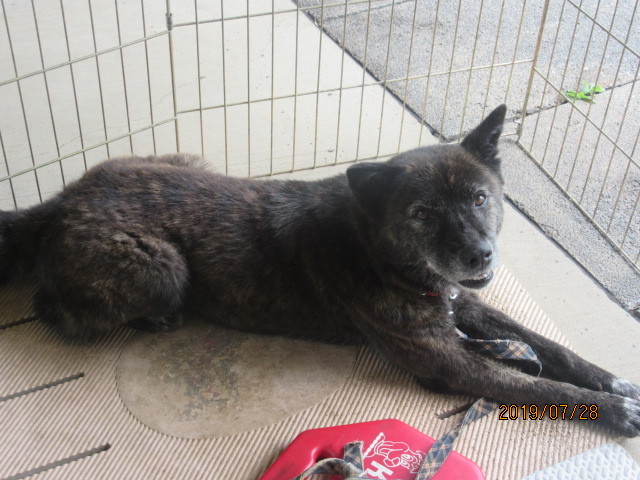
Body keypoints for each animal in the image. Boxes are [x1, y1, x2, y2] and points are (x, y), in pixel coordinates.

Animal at [1, 105, 639, 437]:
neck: (377, 250)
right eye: (422, 213)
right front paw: (612, 410)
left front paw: (612, 382)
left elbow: (549, 348)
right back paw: (148, 320)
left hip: (184, 161)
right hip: (161, 269)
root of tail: (59, 201)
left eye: (480, 199)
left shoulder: (468, 302)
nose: (480, 256)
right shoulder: (449, 363)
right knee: (55, 308)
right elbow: (536, 382)